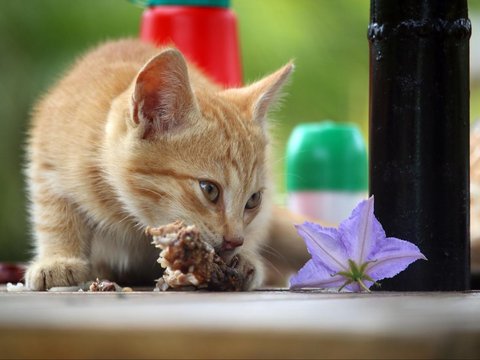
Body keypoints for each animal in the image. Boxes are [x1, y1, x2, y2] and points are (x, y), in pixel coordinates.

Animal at [24, 38, 306, 290]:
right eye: (209, 189)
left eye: (253, 200)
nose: (234, 242)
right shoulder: (47, 160)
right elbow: (55, 215)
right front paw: (58, 260)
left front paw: (246, 260)